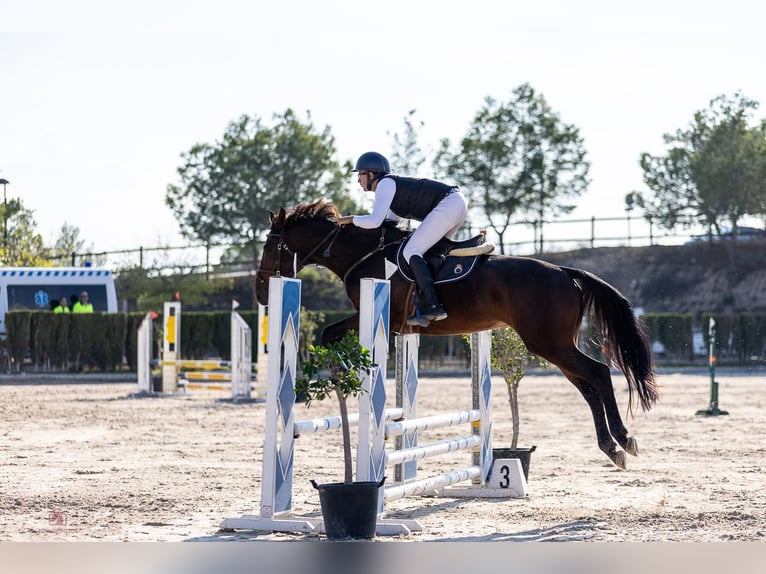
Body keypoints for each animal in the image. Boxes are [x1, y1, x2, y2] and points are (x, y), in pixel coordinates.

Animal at [255, 199, 660, 470]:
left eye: (271, 245)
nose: (260, 293)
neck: (364, 255)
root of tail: (564, 271)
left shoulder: (383, 314)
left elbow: (328, 333)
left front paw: (339, 374)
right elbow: (331, 333)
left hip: (550, 343)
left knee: (598, 372)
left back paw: (623, 440)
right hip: (556, 345)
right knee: (588, 386)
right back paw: (613, 447)